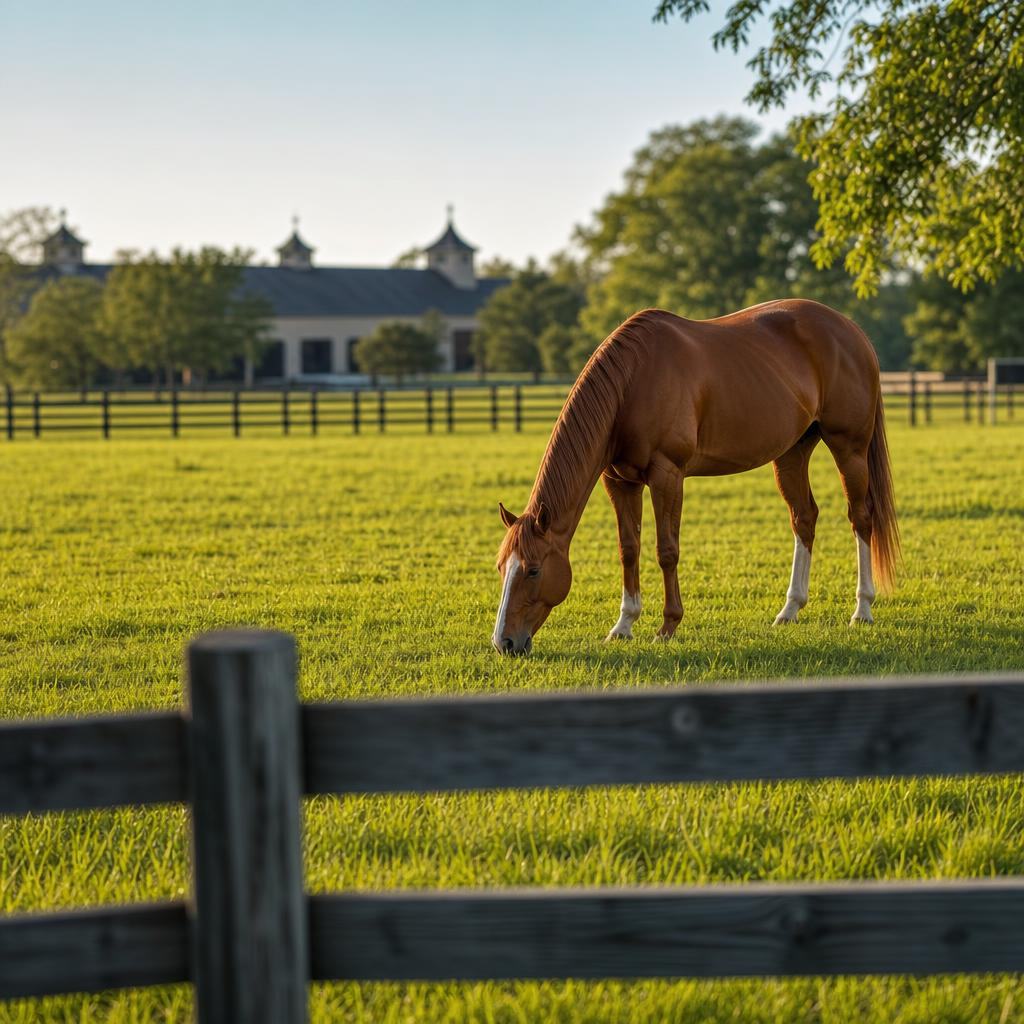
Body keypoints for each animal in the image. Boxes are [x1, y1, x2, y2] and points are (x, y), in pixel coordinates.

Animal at [492, 300, 900, 655]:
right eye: (501, 567)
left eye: (532, 570)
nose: (504, 643)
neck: (633, 382)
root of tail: (851, 330)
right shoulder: (620, 481)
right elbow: (629, 549)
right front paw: (623, 625)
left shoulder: (667, 475)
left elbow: (666, 550)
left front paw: (668, 626)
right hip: (793, 451)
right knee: (804, 518)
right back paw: (790, 610)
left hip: (849, 448)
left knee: (861, 518)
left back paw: (862, 609)